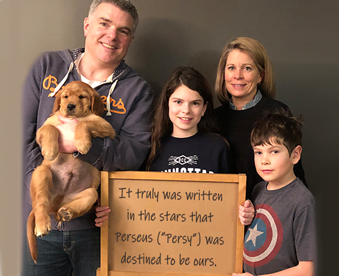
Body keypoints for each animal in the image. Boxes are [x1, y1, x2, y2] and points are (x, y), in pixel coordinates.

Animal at [26, 80, 115, 264]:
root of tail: (56, 204)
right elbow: (51, 129)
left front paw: (82, 143)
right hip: (42, 172)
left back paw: (66, 212)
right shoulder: (44, 127)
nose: (70, 106)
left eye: (82, 97)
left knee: (72, 207)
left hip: (91, 192)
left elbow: (84, 123)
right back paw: (42, 224)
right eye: (65, 96)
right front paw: (51, 150)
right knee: (40, 202)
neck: (74, 117)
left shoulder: (106, 127)